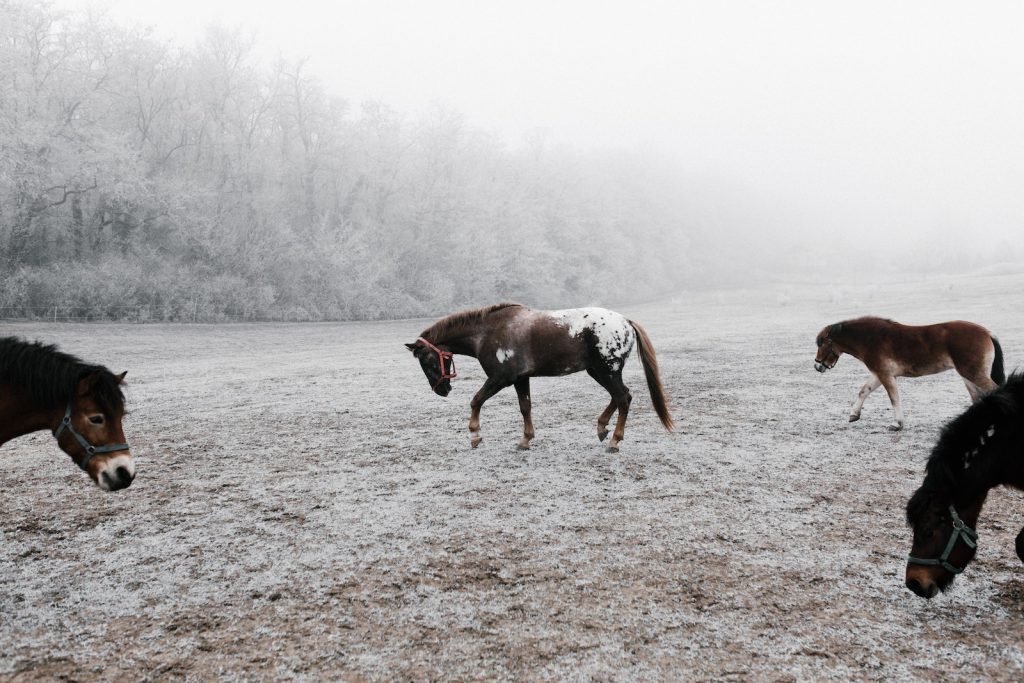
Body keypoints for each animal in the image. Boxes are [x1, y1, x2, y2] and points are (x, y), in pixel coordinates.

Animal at [403, 301, 675, 450]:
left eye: (426, 360)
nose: (442, 390)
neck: (488, 331)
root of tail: (626, 321)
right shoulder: (520, 379)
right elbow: (525, 407)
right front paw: (526, 439)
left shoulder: (501, 378)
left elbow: (476, 400)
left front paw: (475, 435)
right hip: (597, 371)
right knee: (619, 397)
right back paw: (601, 428)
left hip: (607, 371)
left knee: (623, 398)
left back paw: (614, 440)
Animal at [819, 317, 1003, 430]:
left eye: (821, 343)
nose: (817, 365)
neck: (872, 339)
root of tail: (987, 333)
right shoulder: (880, 375)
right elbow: (864, 390)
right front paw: (854, 414)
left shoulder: (885, 375)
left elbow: (894, 398)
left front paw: (897, 424)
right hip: (968, 376)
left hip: (974, 374)